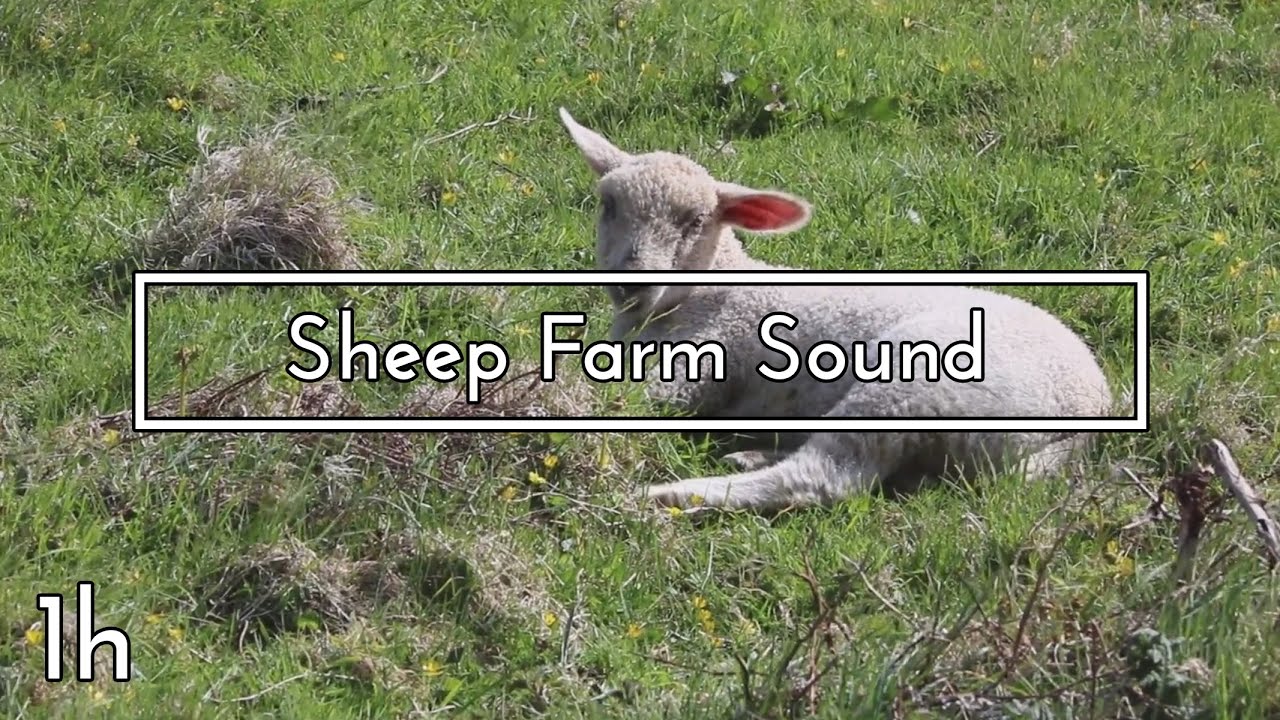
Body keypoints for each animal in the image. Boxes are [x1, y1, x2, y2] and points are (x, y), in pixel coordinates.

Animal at [557, 107, 1114, 513]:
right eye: (608, 206)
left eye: (695, 221)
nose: (632, 283)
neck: (707, 290)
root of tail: (1087, 416)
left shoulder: (699, 366)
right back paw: (748, 455)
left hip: (913, 389)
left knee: (827, 477)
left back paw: (672, 496)